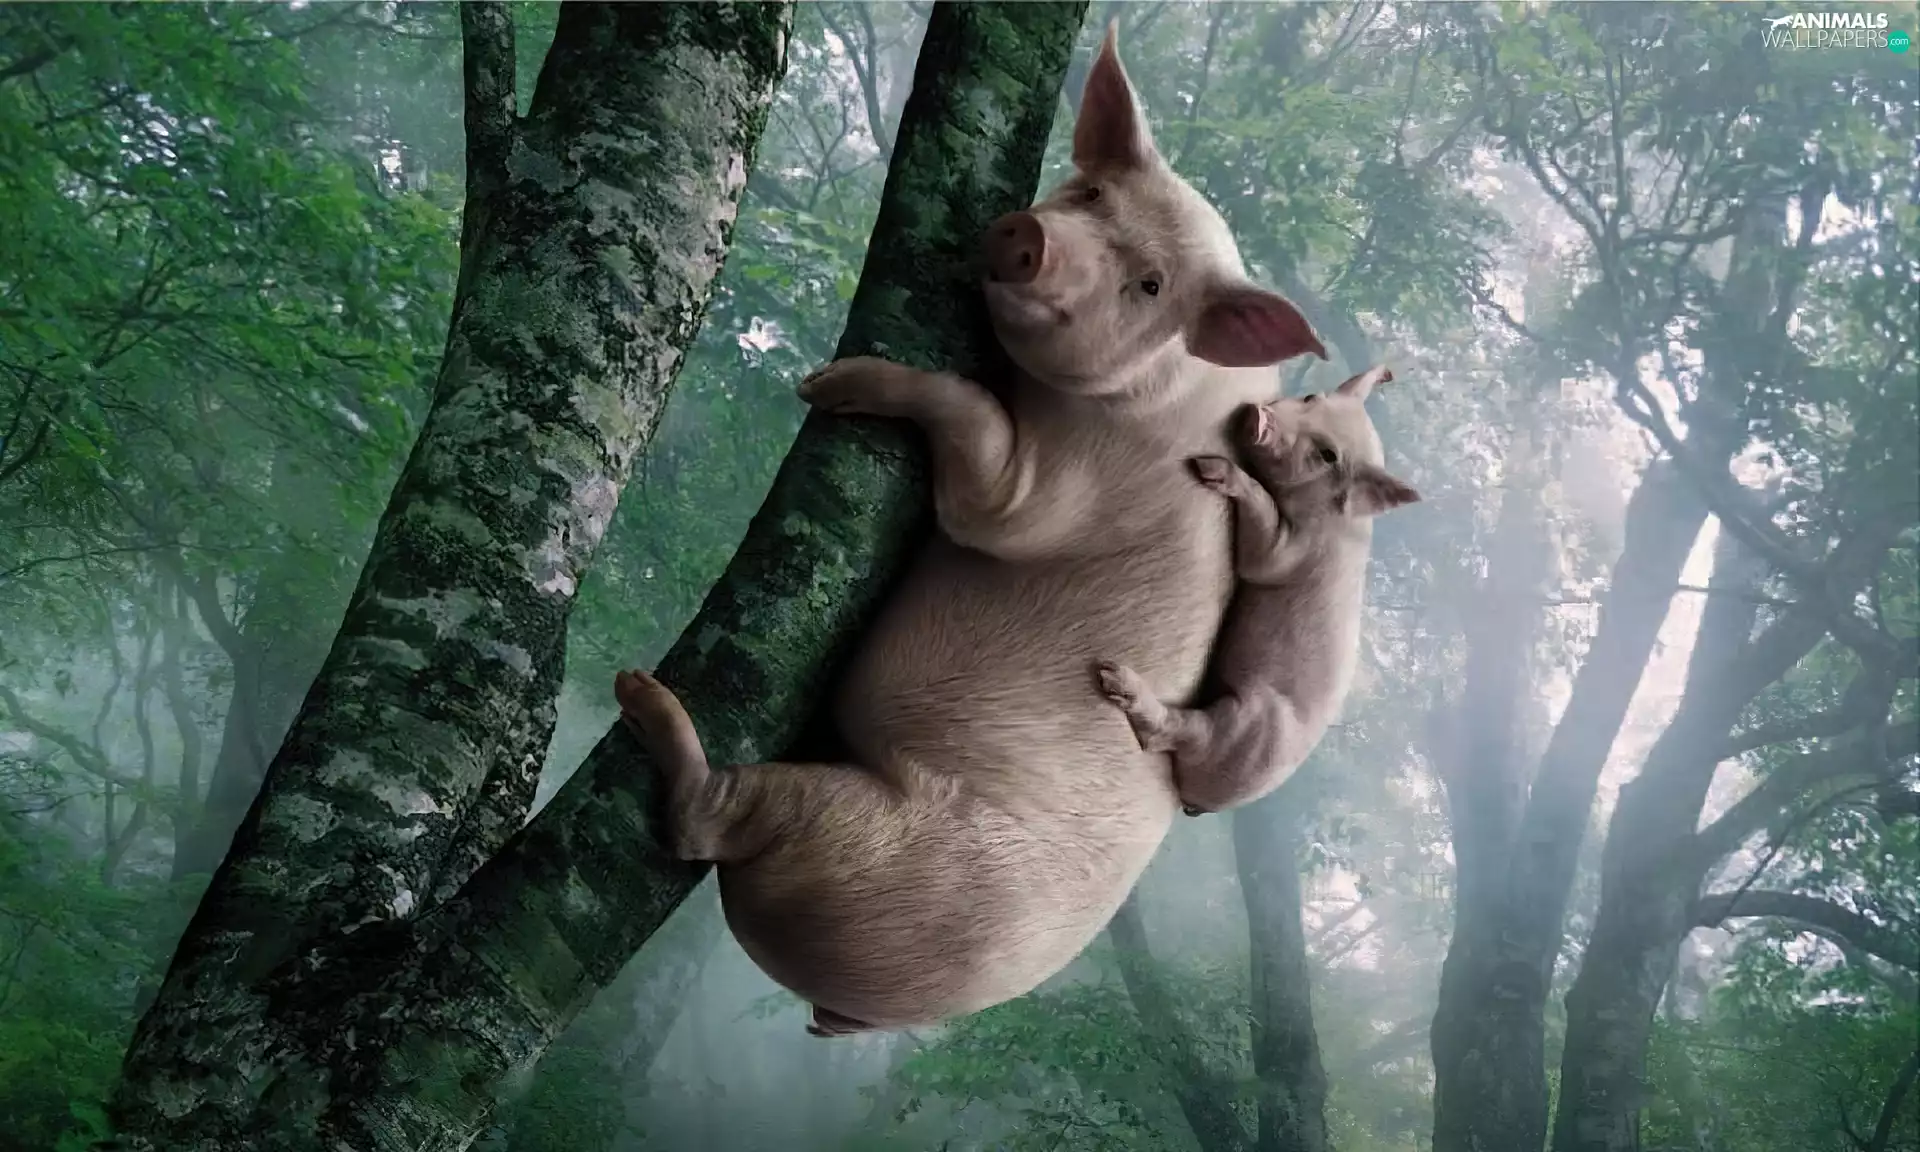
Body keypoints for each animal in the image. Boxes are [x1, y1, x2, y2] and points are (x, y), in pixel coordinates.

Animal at [612, 23, 1327, 1039]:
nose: (1031, 238)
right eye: (1092, 194)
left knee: (707, 823)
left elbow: (984, 473)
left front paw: (826, 386)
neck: (1159, 401)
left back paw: (643, 698)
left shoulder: (1066, 486)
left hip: (861, 844)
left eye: (1150, 286)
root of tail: (859, 1007)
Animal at [1095, 365, 1420, 815]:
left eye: (1328, 455)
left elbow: (1260, 546)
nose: (1260, 416)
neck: (1335, 517)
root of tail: (1204, 803)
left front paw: (1208, 468)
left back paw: (1114, 678)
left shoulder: (1291, 550)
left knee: (1175, 734)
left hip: (1246, 727)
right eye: (1310, 398)